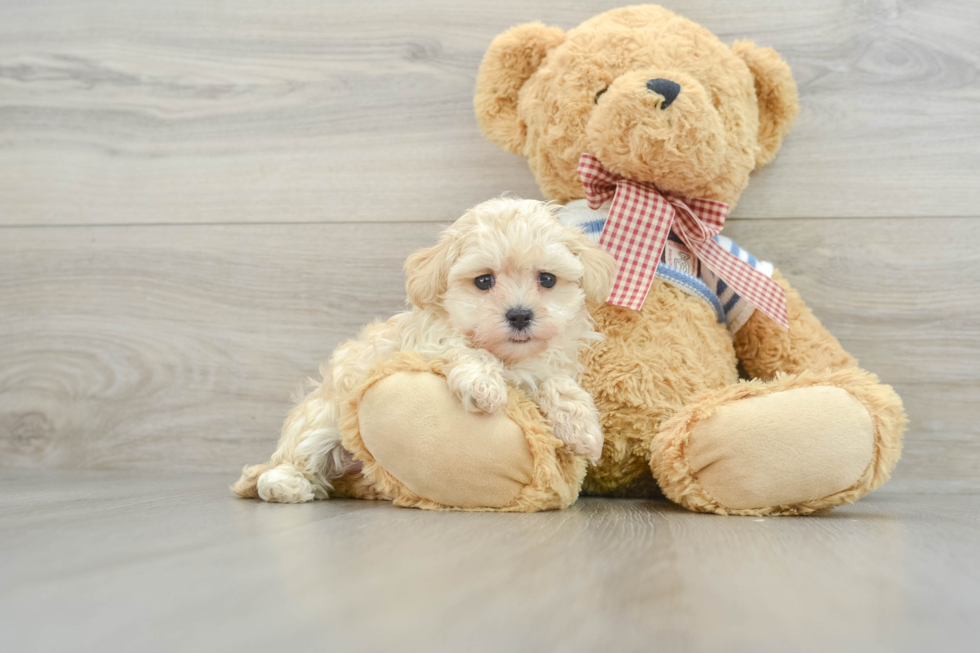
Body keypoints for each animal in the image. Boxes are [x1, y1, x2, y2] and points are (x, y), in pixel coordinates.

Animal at [234, 199, 616, 504]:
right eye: (484, 281)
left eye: (547, 279)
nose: (520, 315)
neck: (510, 358)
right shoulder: (428, 346)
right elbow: (466, 351)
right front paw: (484, 386)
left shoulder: (545, 364)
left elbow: (557, 382)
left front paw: (582, 427)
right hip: (321, 420)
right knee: (296, 459)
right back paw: (285, 485)